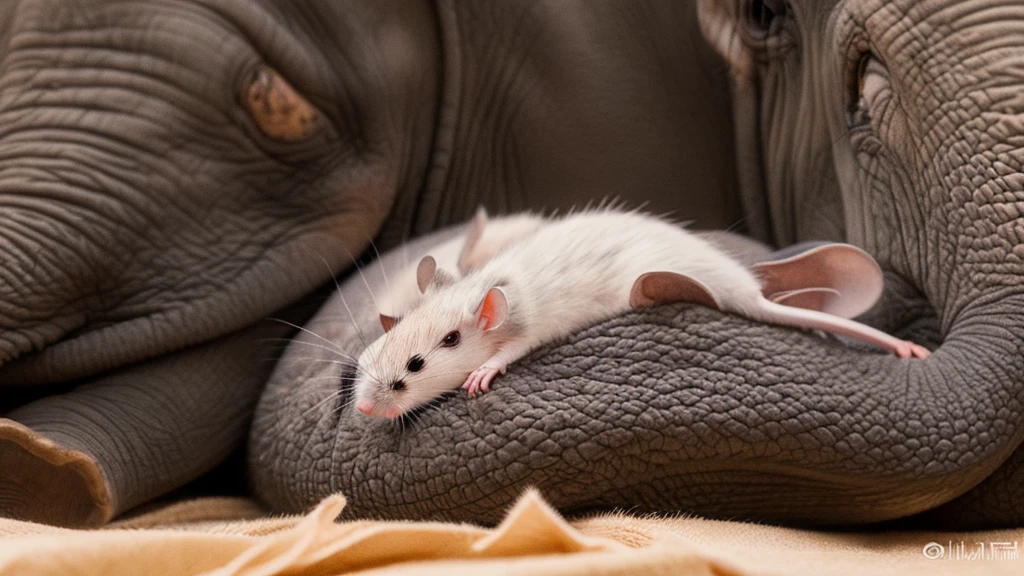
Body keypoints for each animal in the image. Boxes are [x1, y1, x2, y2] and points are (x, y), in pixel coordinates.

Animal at [249, 0, 1024, 528]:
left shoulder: (529, 322)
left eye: (413, 369)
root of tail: (740, 285)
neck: (484, 283)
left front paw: (483, 372)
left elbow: (515, 349)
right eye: (371, 356)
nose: (366, 408)